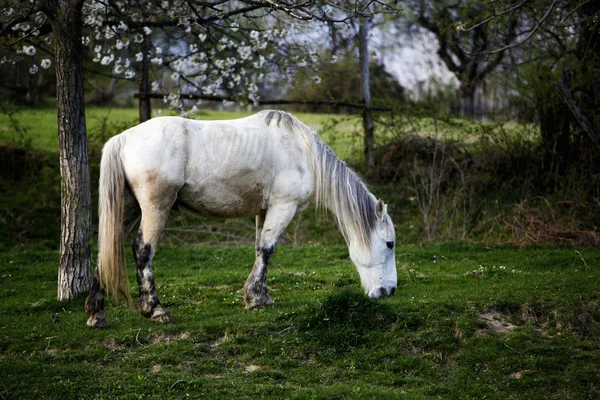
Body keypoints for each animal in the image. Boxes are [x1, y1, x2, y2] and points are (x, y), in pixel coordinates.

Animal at [83, 110, 394, 328]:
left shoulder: (264, 211)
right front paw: (255, 299)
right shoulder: (284, 207)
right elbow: (267, 250)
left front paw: (260, 297)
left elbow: (260, 249)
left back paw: (97, 314)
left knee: (106, 248)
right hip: (155, 208)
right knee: (142, 250)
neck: (303, 152)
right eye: (390, 244)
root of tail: (122, 139)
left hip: (129, 209)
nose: (388, 291)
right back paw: (155, 310)